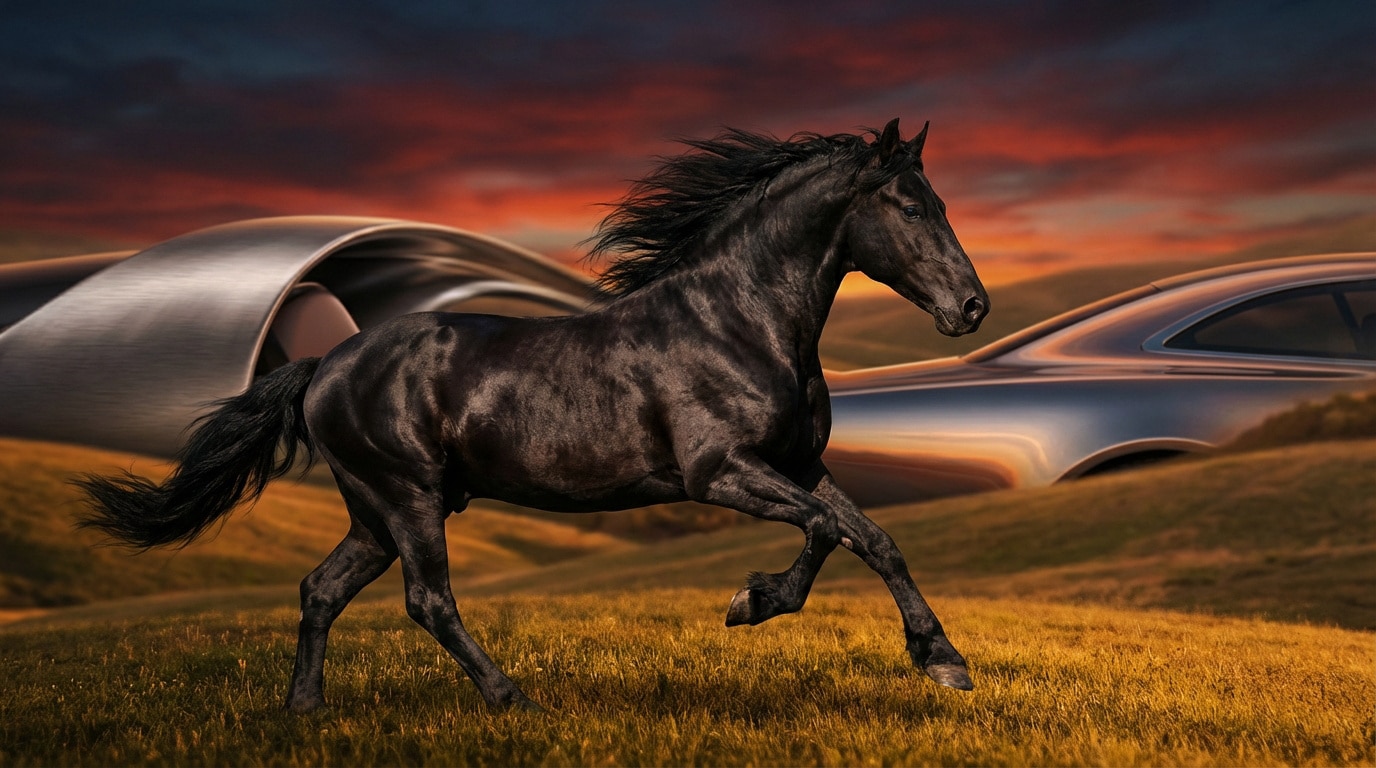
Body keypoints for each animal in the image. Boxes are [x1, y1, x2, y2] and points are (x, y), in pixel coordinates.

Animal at [76, 117, 989, 713]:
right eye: (913, 207)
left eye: (942, 201)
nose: (973, 307)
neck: (739, 320)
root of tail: (323, 365)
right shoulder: (720, 473)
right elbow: (830, 533)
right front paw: (750, 602)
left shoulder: (801, 466)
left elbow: (875, 538)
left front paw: (943, 660)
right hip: (406, 498)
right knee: (428, 601)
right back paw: (511, 697)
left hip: (376, 511)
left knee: (321, 590)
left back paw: (307, 712)